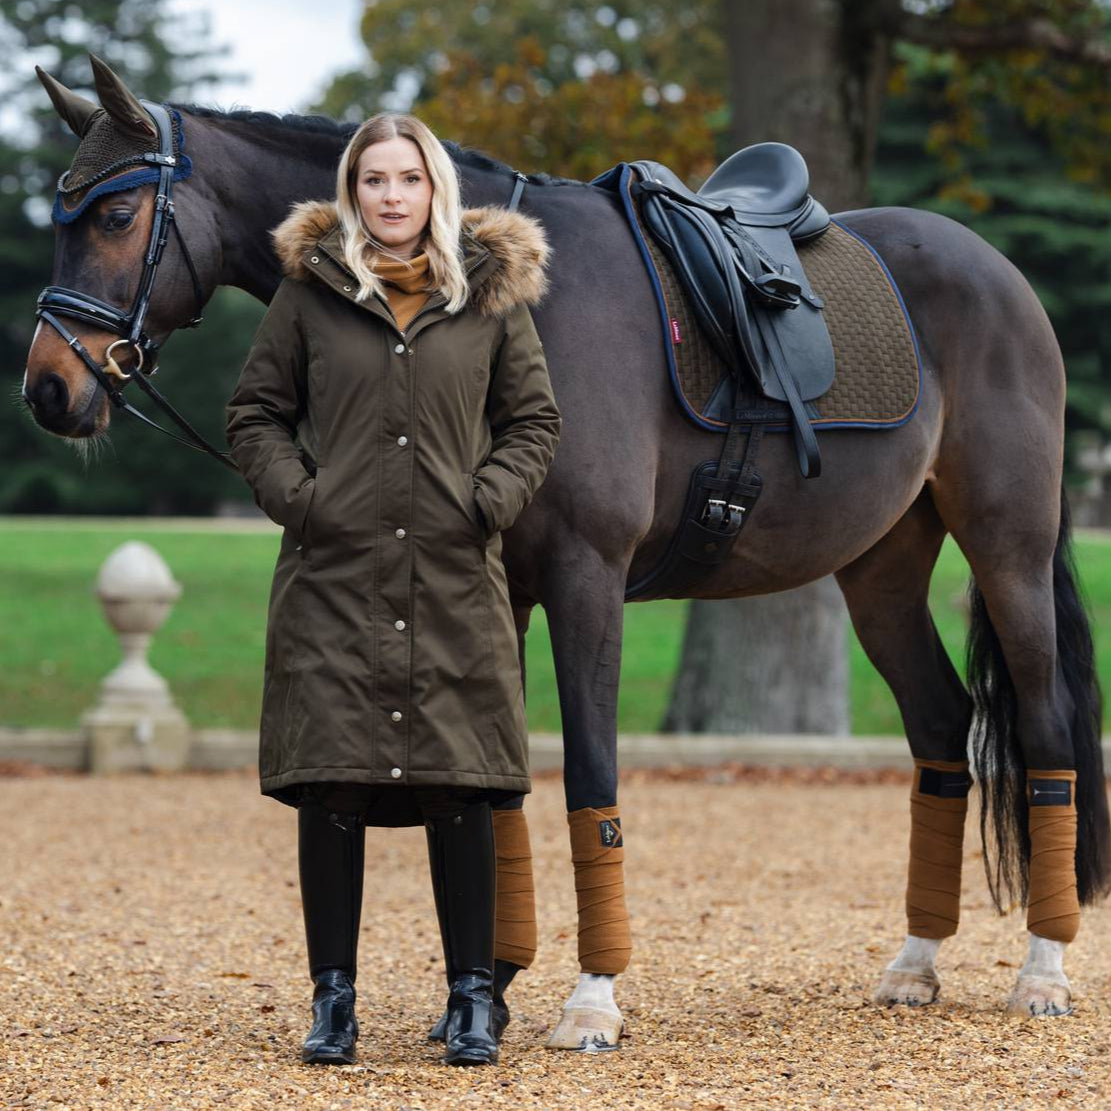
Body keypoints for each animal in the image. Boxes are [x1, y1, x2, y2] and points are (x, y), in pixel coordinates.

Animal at [21, 58, 1106, 1048]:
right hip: (879, 573)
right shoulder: (496, 589)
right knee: (941, 727)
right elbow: (494, 789)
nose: (47, 391)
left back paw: (1042, 970)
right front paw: (487, 991)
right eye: (63, 217)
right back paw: (915, 962)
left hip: (1006, 548)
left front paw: (590, 999)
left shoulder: (589, 579)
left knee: (1043, 726)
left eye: (114, 217)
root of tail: (997, 272)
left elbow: (590, 776)